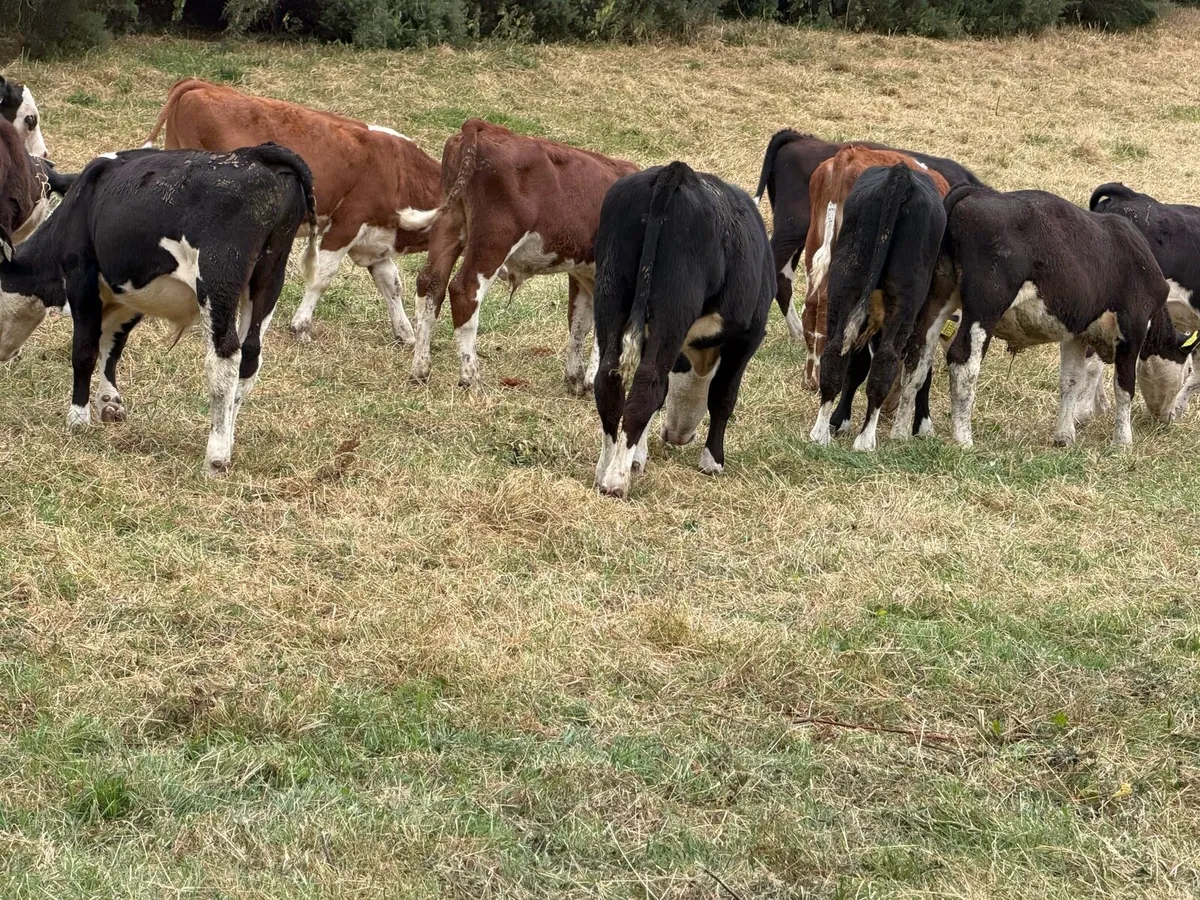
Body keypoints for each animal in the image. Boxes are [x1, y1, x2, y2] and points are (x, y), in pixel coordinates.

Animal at [0, 144, 318, 474]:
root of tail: (259, 155)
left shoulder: (80, 276)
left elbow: (85, 351)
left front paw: (78, 418)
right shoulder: (128, 294)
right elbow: (113, 345)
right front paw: (109, 401)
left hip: (218, 277)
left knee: (225, 356)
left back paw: (217, 456)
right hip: (269, 276)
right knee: (251, 355)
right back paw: (229, 439)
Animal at [142, 78, 441, 343]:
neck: (400, 171)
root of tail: (202, 84)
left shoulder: (376, 240)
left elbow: (392, 284)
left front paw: (405, 333)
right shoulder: (346, 225)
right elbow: (322, 277)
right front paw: (301, 326)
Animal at [399, 119, 638, 392]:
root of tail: (482, 126)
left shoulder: (583, 272)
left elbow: (579, 323)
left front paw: (575, 378)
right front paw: (593, 380)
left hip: (450, 223)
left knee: (430, 285)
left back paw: (420, 370)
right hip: (495, 237)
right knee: (464, 291)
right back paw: (470, 377)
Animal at [592, 161, 773, 499]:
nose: (678, 437)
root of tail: (674, 172)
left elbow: (665, 392)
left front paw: (638, 457)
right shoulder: (748, 336)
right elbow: (723, 395)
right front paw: (712, 461)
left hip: (610, 291)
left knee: (610, 378)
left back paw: (605, 469)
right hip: (674, 304)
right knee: (648, 382)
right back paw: (615, 480)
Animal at [809, 164, 948, 451]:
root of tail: (901, 175)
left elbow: (856, 366)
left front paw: (839, 420)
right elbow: (921, 370)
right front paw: (923, 425)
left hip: (845, 285)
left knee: (836, 352)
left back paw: (820, 433)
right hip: (905, 302)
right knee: (885, 361)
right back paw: (865, 440)